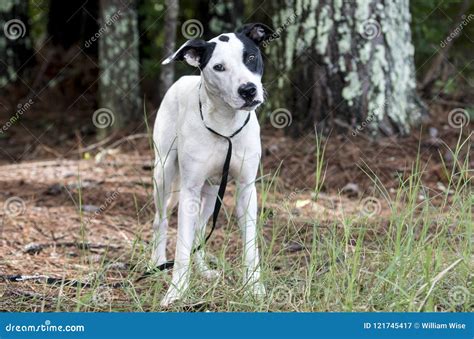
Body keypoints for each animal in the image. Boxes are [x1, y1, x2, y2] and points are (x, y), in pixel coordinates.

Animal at [150, 22, 272, 306]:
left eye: (250, 57)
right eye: (218, 67)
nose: (248, 90)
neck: (225, 123)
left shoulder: (246, 189)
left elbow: (250, 245)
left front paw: (254, 287)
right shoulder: (190, 190)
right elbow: (181, 247)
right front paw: (177, 291)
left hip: (213, 191)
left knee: (200, 228)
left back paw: (203, 270)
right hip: (163, 174)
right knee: (161, 220)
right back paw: (157, 262)